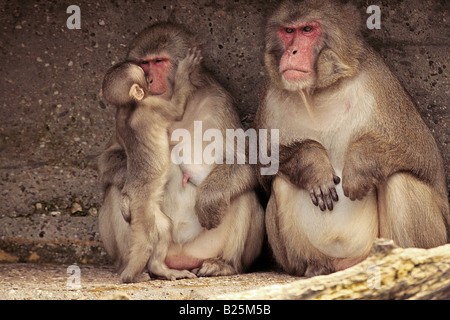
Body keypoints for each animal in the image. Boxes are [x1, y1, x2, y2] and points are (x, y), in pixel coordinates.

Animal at [102, 47, 202, 282]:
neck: (130, 106)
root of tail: (129, 197)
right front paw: (184, 72)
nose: (150, 78)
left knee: (164, 229)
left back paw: (160, 268)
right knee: (146, 242)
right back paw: (131, 276)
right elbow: (176, 110)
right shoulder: (152, 106)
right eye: (144, 74)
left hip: (151, 212)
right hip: (141, 209)